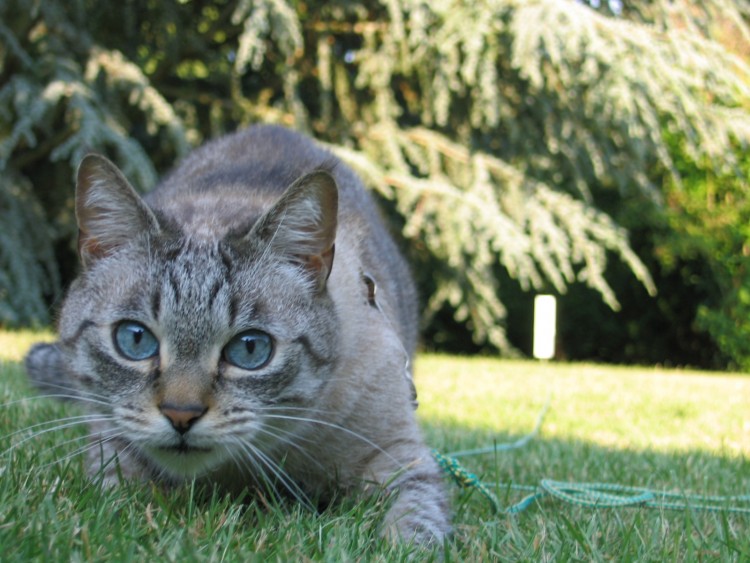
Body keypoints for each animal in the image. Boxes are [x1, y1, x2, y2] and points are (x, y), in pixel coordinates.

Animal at [25, 124, 452, 548]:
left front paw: (398, 543)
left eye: (250, 349)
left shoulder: (401, 458)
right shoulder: (112, 440)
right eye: (135, 340)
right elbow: (117, 495)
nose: (181, 415)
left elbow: (413, 529)